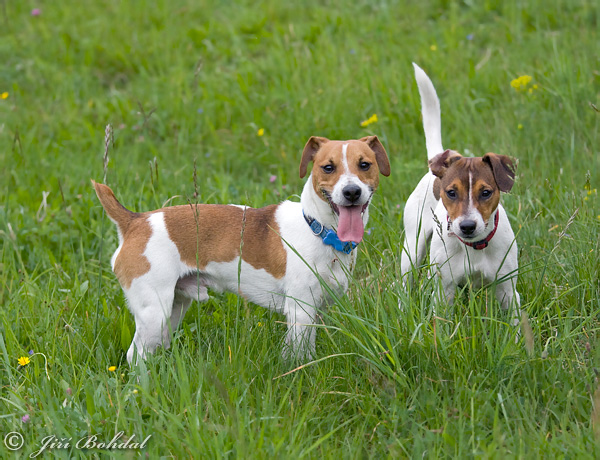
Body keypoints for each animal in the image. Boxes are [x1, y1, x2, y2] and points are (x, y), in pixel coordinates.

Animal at [94, 137, 392, 362]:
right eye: (328, 167)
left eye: (365, 164)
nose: (352, 192)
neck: (318, 230)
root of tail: (134, 221)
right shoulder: (300, 311)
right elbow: (298, 357)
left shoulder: (317, 312)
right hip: (154, 312)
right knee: (135, 356)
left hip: (173, 309)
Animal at [400, 63, 524, 328]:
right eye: (451, 193)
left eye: (486, 192)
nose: (467, 226)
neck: (475, 246)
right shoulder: (443, 292)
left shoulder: (508, 290)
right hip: (412, 247)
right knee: (404, 282)